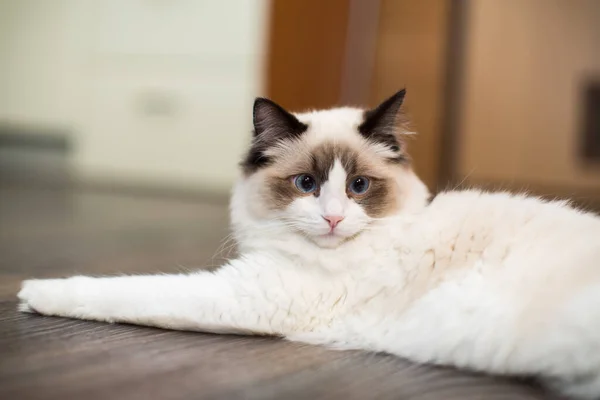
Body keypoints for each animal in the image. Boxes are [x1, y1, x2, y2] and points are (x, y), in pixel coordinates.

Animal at [16, 90, 600, 400]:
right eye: (306, 184)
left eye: (359, 186)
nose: (335, 217)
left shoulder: (246, 294)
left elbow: (125, 291)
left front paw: (32, 293)